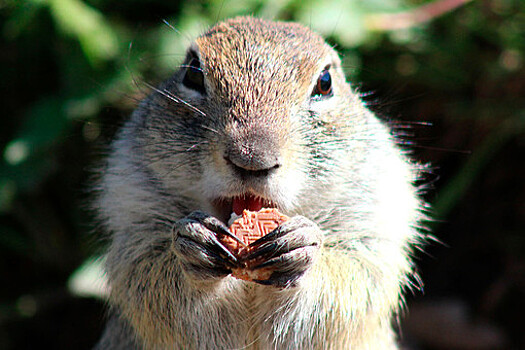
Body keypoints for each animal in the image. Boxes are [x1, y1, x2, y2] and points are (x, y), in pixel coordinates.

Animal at [93, 16, 426, 350]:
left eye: (325, 83)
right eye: (193, 73)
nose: (251, 159)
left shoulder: (371, 223)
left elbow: (347, 285)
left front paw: (303, 247)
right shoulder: (136, 220)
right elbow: (154, 281)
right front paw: (192, 242)